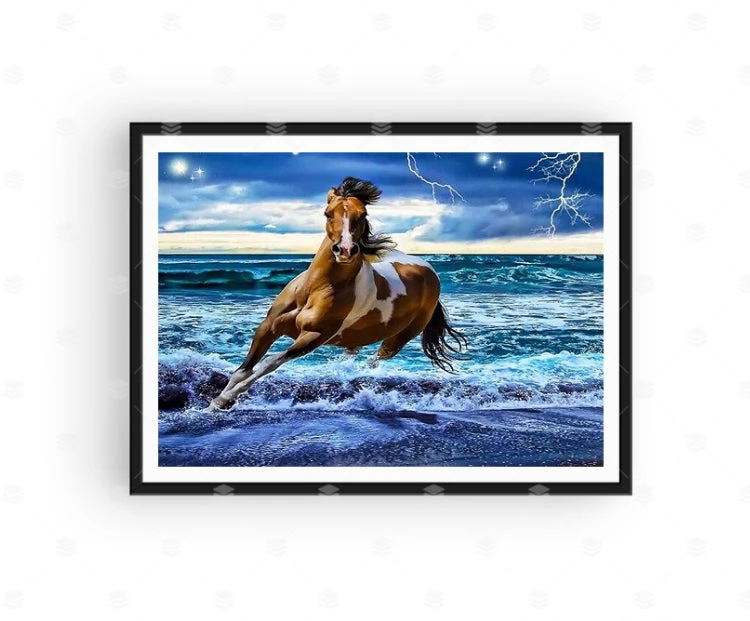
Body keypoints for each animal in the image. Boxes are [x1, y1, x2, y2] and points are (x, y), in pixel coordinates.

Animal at [208, 176, 467, 411]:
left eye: (363, 214)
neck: (314, 289)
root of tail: (429, 271)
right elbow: (243, 370)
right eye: (327, 213)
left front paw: (224, 400)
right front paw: (214, 404)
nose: (345, 250)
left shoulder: (313, 336)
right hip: (358, 338)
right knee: (352, 355)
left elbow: (269, 363)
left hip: (399, 338)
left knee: (374, 361)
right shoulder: (269, 326)